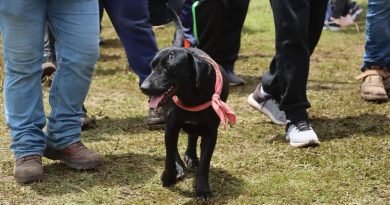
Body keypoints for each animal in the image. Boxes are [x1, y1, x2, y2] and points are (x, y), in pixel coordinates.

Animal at [139, 47, 233, 199]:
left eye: (168, 67)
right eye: (152, 66)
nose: (143, 87)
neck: (191, 98)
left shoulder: (211, 134)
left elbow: (205, 163)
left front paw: (202, 189)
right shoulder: (171, 127)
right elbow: (170, 155)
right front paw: (169, 177)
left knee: (192, 137)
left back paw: (192, 157)